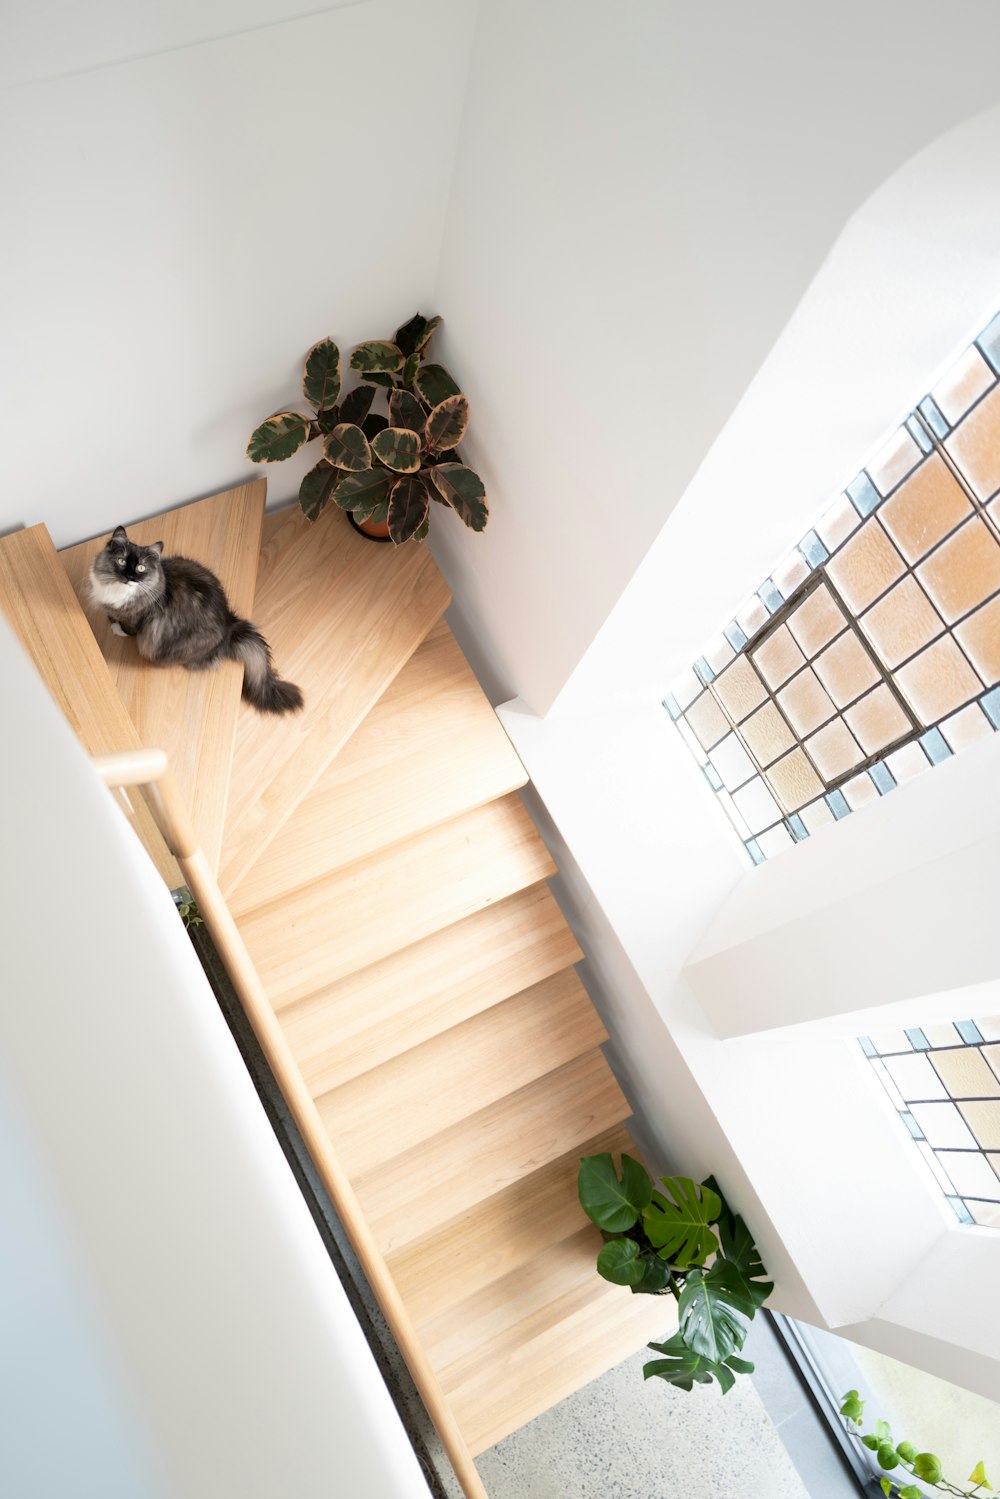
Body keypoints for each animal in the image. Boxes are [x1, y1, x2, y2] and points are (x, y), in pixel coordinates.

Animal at [89, 524, 301, 716]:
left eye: (141, 567)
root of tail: (230, 624)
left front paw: (117, 628)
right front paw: (111, 618)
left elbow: (127, 628)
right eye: (121, 561)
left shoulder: (136, 618)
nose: (129, 577)